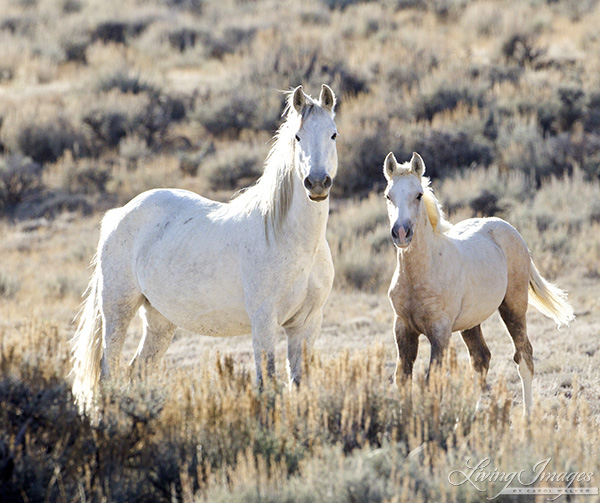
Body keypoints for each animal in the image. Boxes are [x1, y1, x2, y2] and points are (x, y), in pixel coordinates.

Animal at [71, 83, 338, 414]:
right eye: (297, 137)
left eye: (333, 134)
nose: (317, 183)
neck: (296, 243)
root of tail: (118, 214)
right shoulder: (264, 322)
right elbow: (266, 385)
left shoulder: (307, 324)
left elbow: (298, 385)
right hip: (118, 309)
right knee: (108, 372)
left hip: (159, 320)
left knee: (138, 370)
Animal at [382, 152, 576, 416]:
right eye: (388, 195)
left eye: (418, 194)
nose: (402, 233)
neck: (422, 273)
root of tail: (510, 230)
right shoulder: (403, 328)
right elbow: (403, 378)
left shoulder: (439, 332)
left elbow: (432, 381)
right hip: (470, 323)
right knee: (481, 359)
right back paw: (469, 417)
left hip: (513, 307)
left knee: (524, 356)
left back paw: (527, 417)